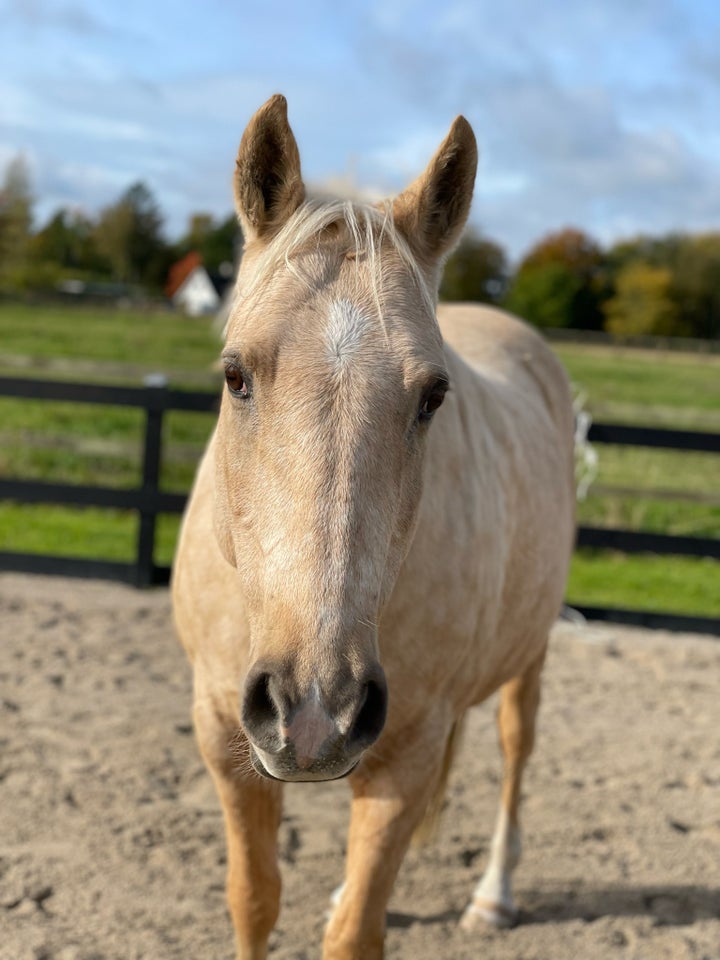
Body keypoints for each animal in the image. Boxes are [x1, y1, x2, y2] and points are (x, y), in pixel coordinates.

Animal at [172, 92, 576, 960]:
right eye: (235, 375)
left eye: (433, 396)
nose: (313, 708)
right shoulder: (224, 736)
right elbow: (253, 899)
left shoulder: (408, 753)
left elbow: (358, 932)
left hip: (527, 660)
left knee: (515, 753)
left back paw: (493, 897)